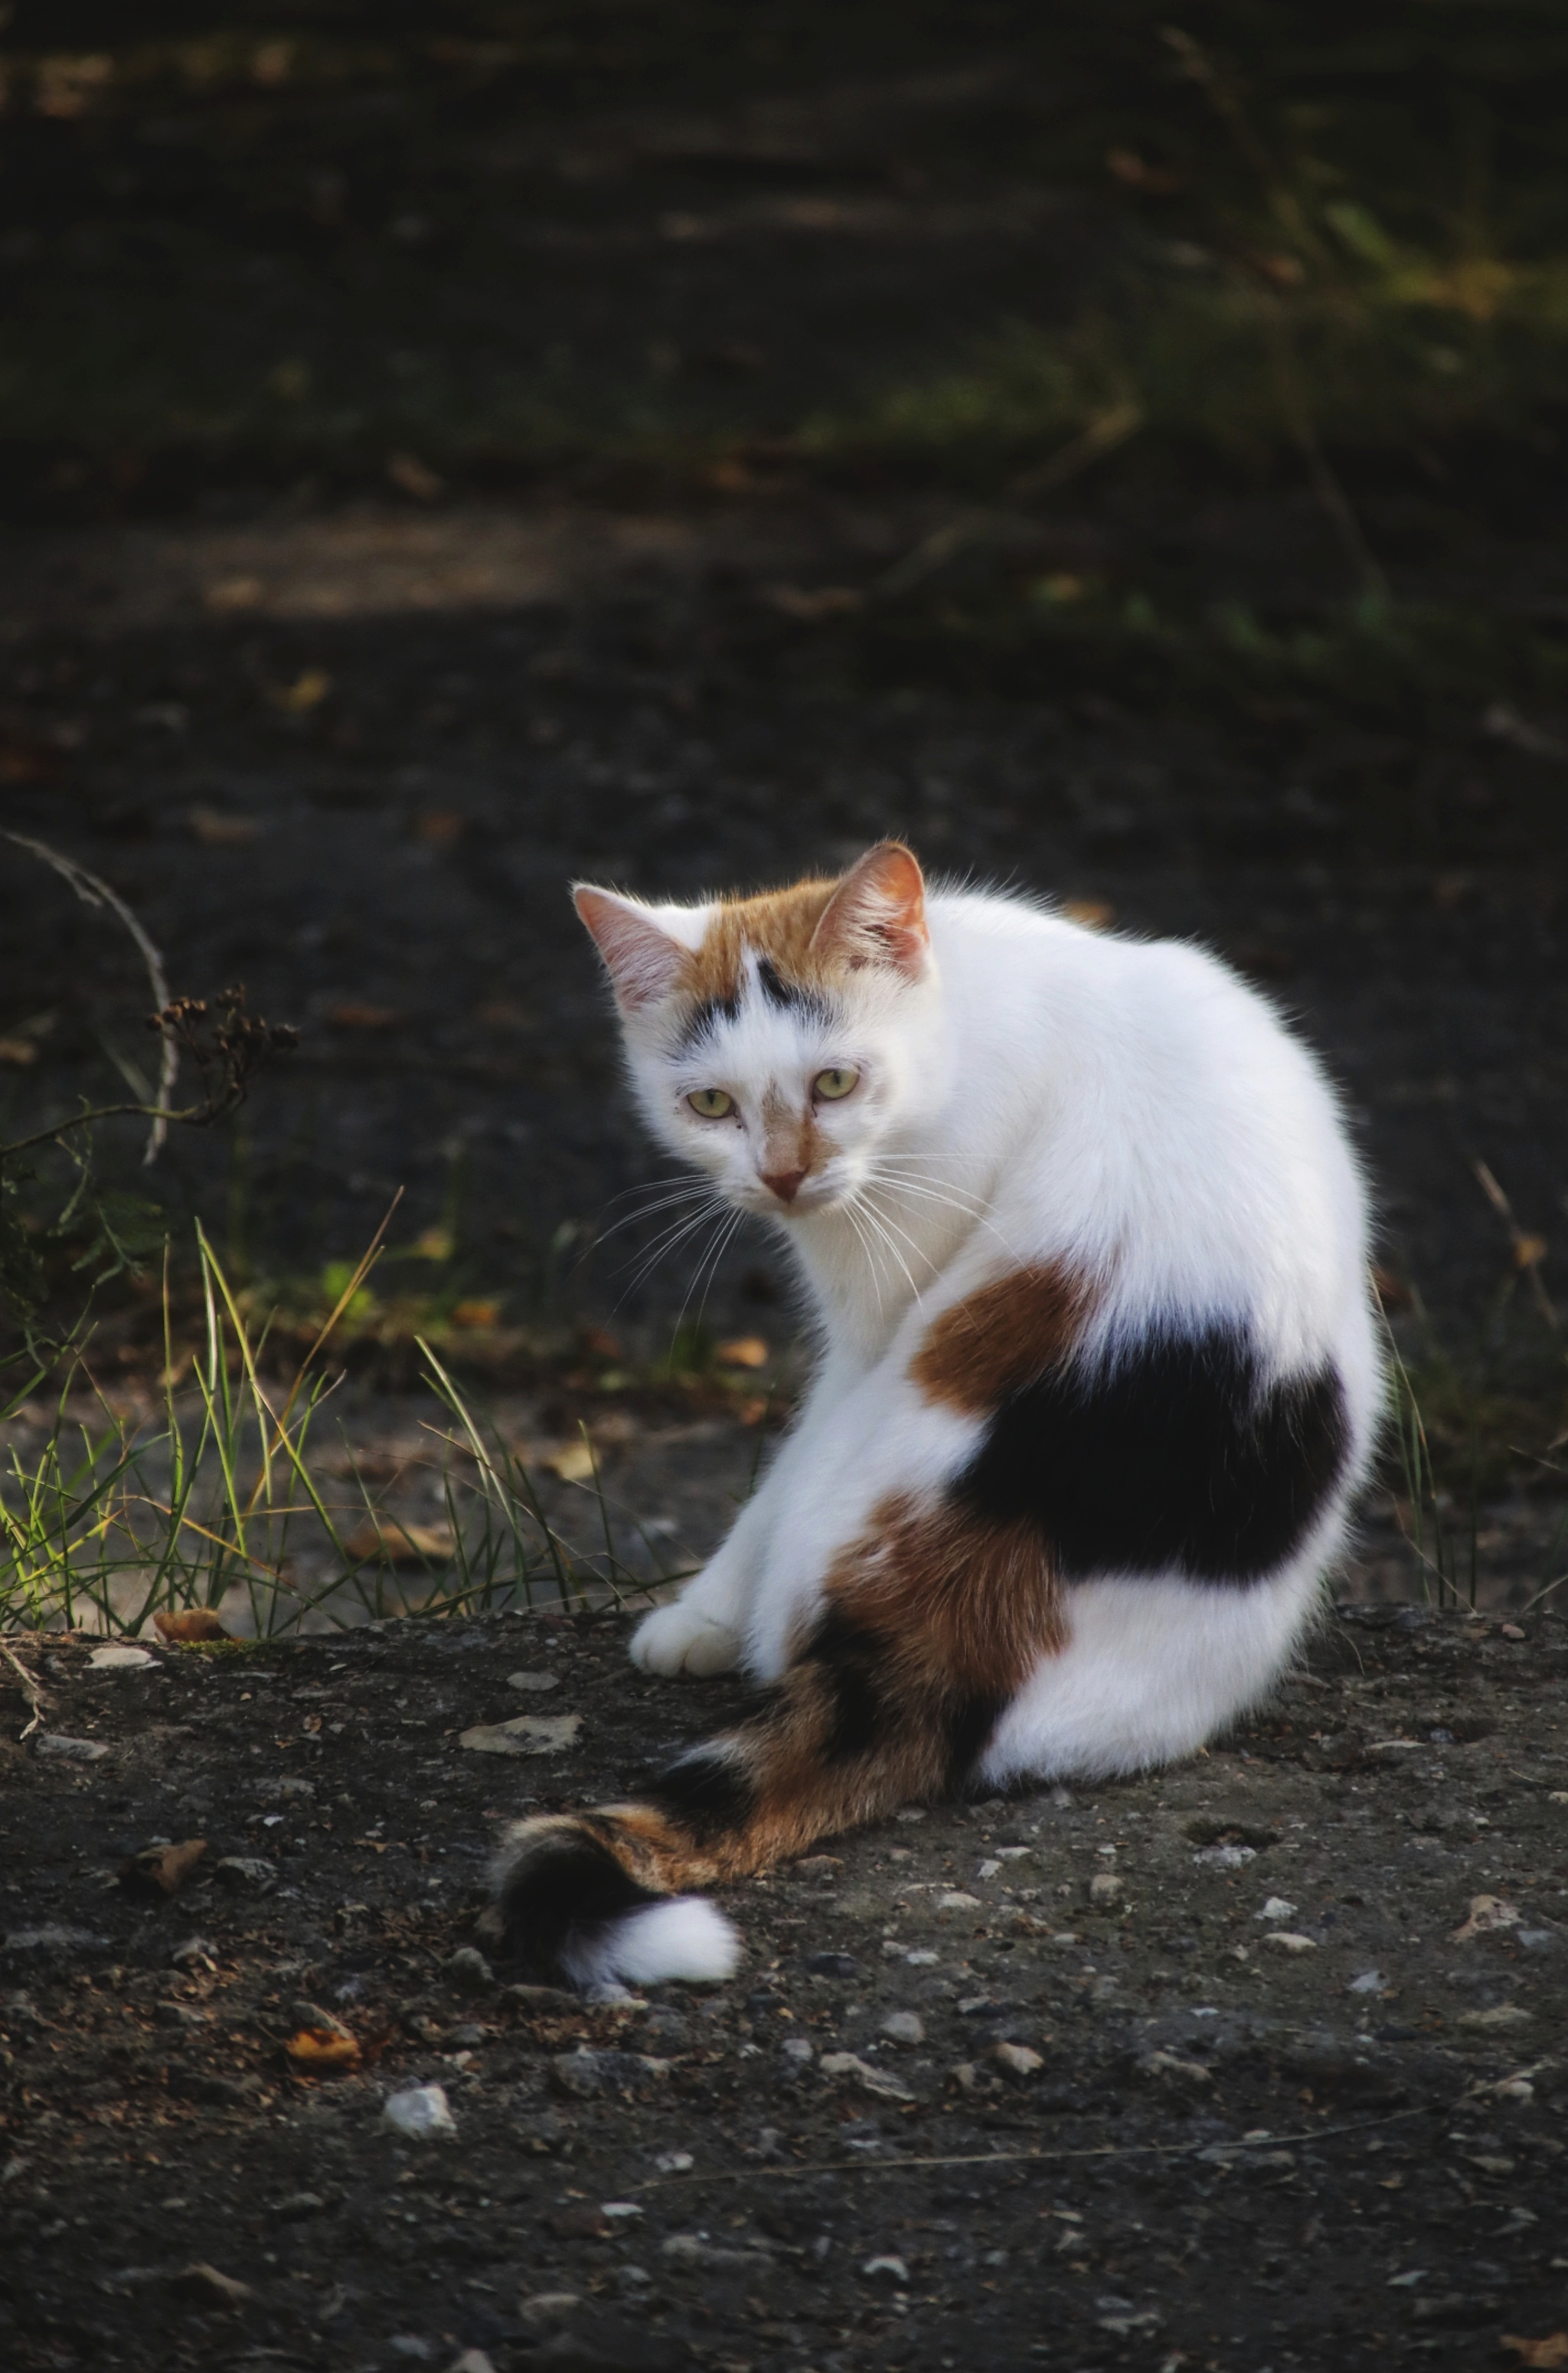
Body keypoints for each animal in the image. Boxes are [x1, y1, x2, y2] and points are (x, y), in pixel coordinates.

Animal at [484, 845, 1376, 1993]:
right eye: (712, 1102)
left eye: (835, 1081)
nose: (783, 1175)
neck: (960, 1018)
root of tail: (945, 1637)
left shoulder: (870, 1321)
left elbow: (782, 1465)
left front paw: (701, 1614)